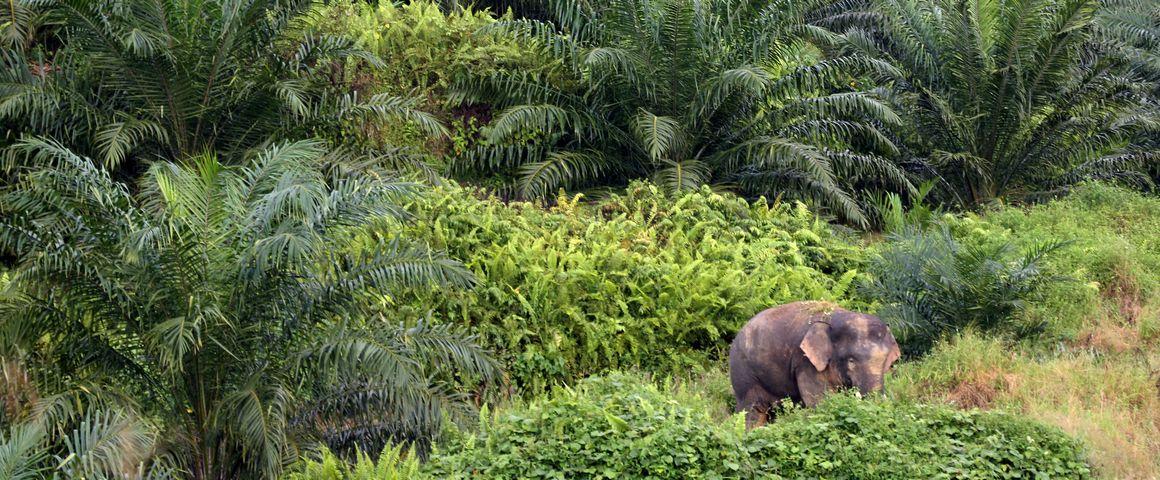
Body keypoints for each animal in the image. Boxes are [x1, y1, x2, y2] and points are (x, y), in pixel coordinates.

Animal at [728, 301, 900, 428]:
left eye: (885, 361)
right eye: (851, 361)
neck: (834, 317)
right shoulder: (804, 361)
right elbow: (820, 401)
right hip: (743, 374)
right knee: (751, 412)